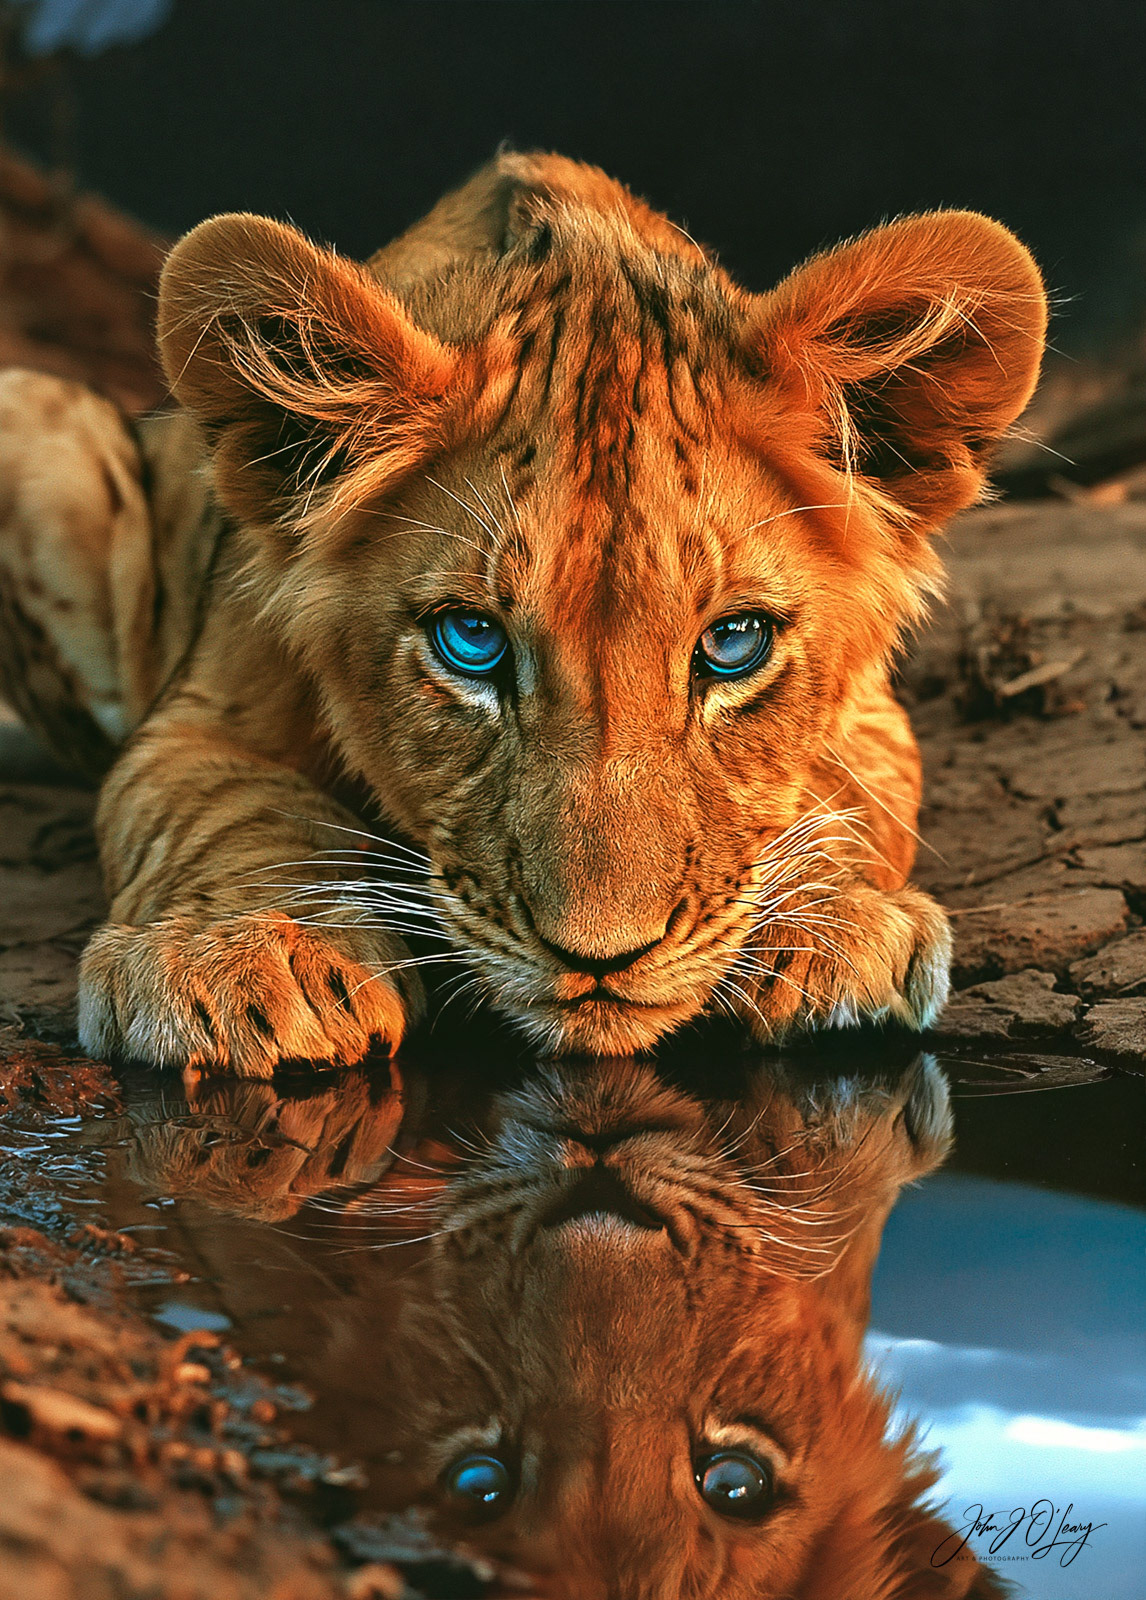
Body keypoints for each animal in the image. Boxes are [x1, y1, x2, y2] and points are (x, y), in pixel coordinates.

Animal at [0, 151, 1047, 1072]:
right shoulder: (198, 720)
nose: (601, 958)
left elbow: (846, 795)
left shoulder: (872, 717)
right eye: (472, 642)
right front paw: (245, 959)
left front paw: (832, 935)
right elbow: (225, 809)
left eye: (734, 644)